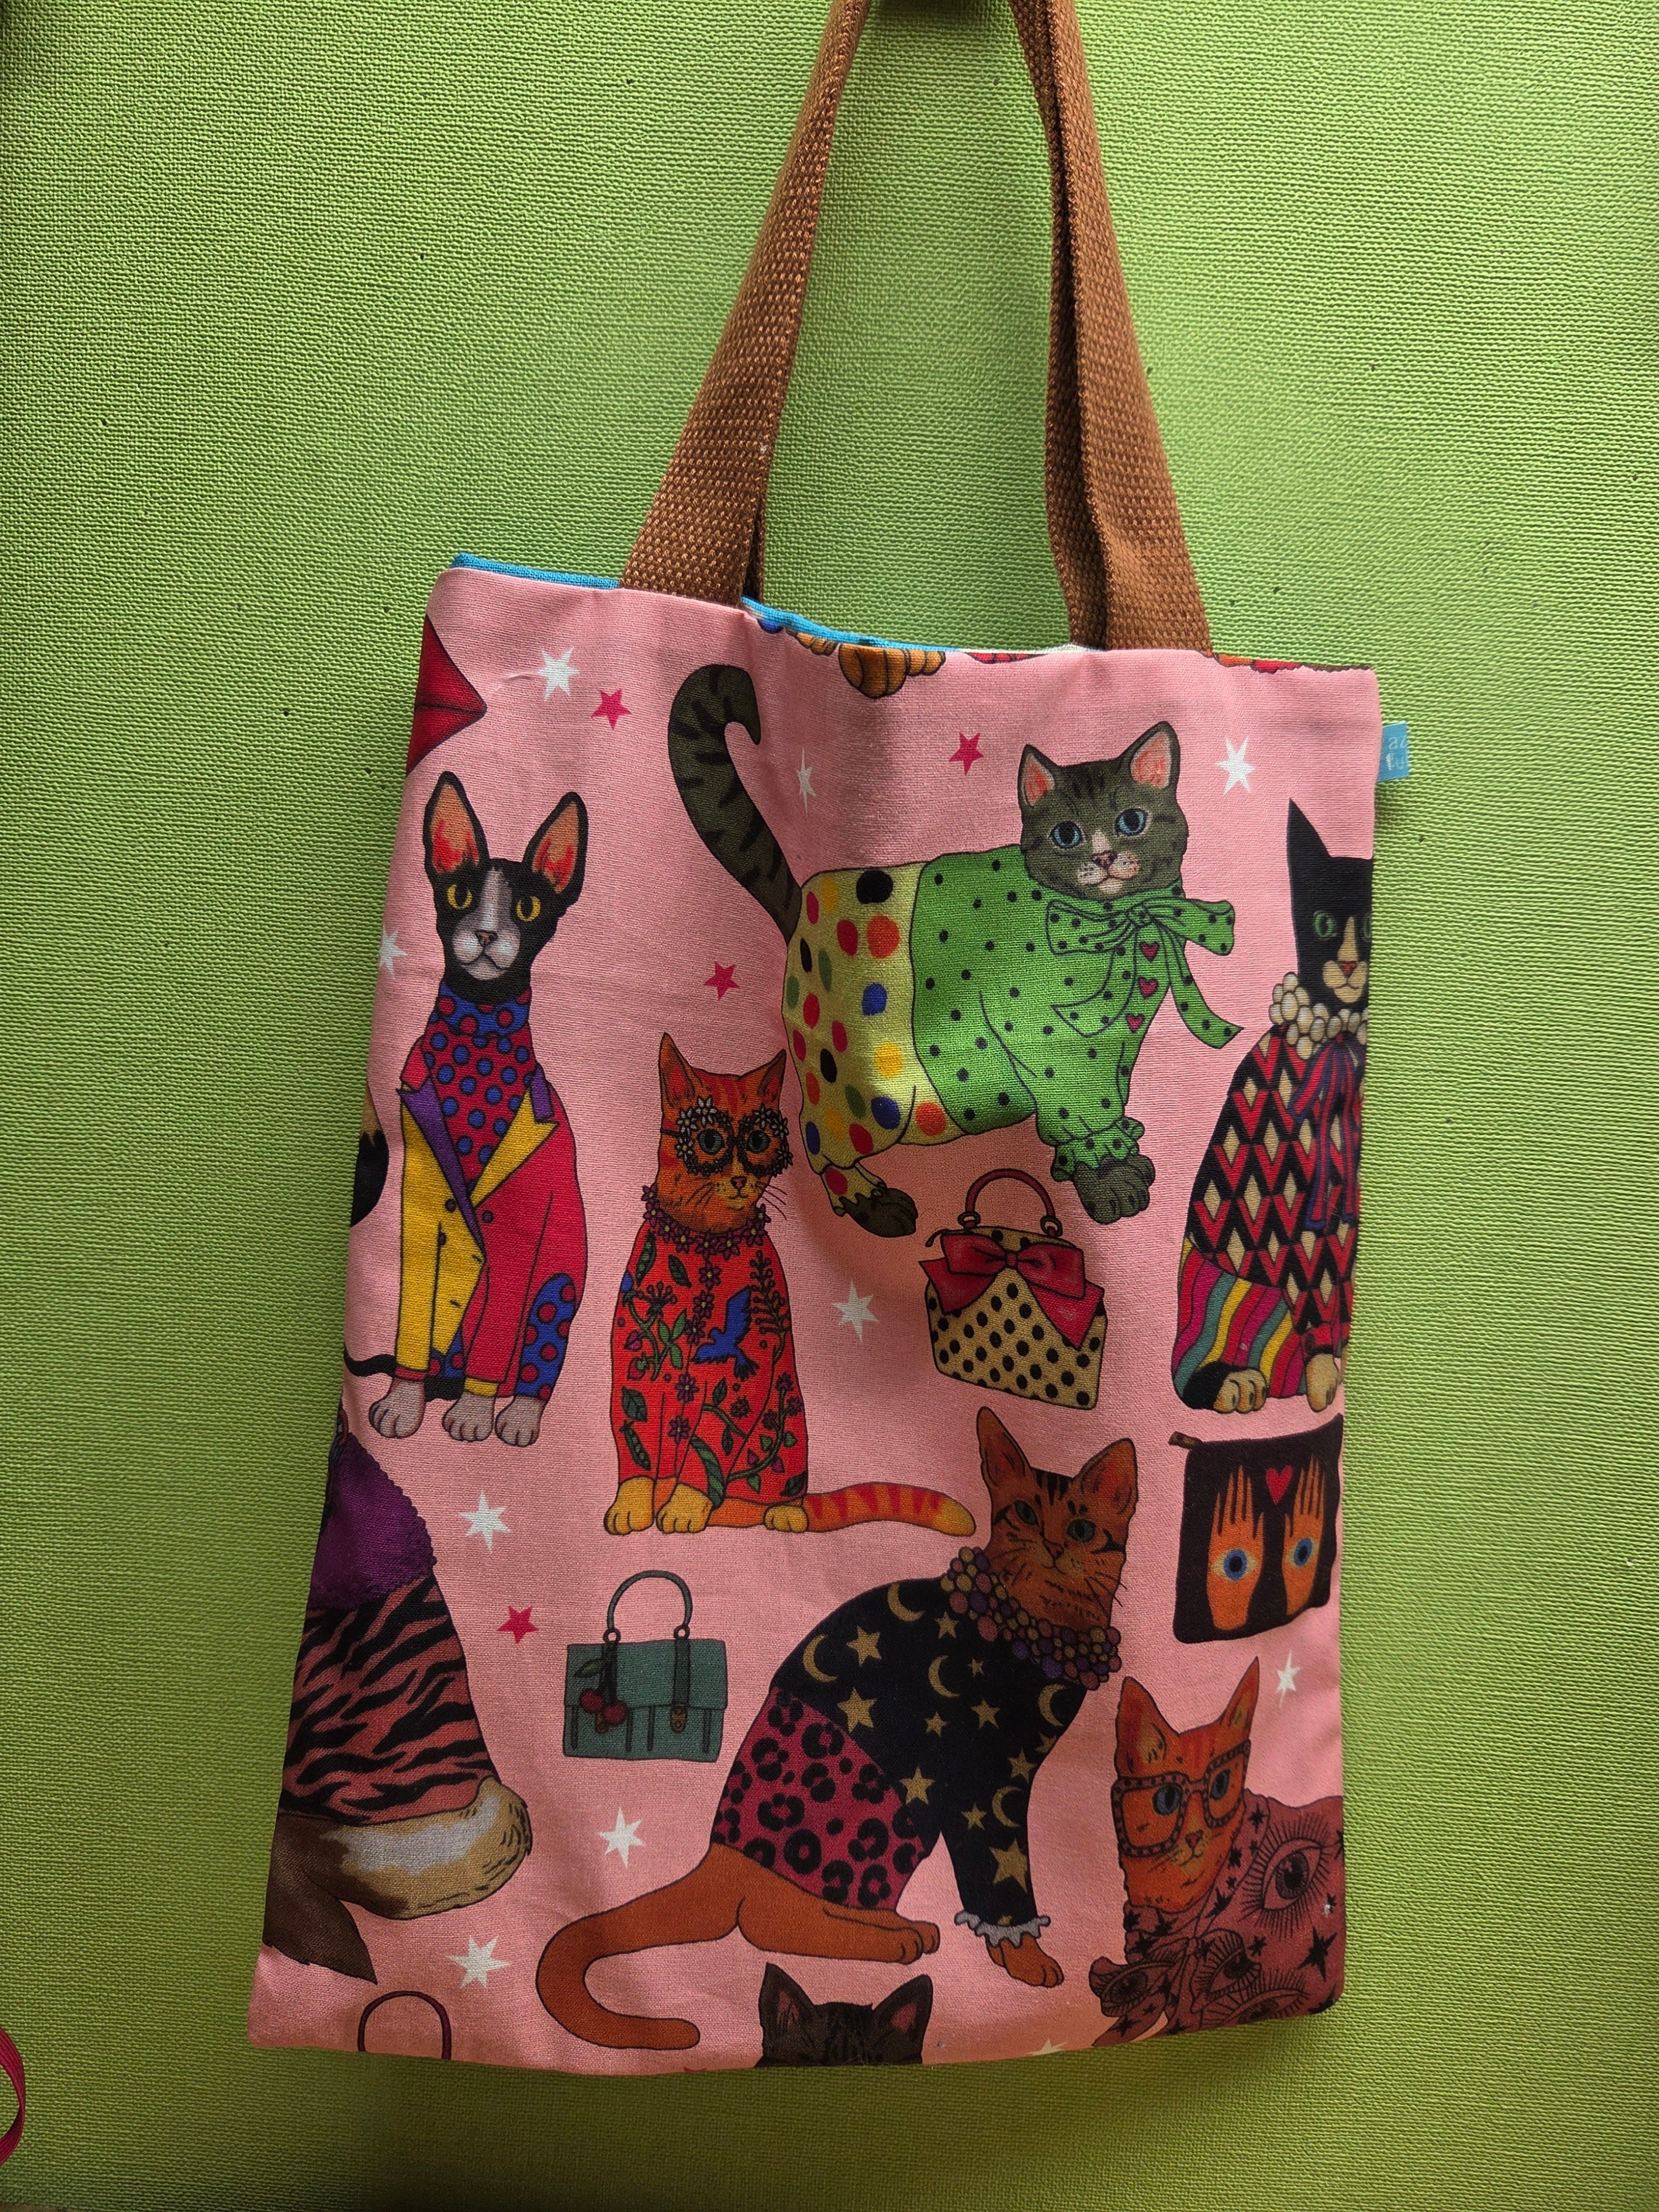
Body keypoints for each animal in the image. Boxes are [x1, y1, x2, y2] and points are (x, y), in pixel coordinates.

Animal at [349, 772, 589, 1448]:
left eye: (528, 909)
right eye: (459, 894)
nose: (484, 935)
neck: (477, 1038)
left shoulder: (520, 1236)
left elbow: (498, 1330)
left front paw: (474, 1415)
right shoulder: (420, 1206)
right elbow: (410, 1313)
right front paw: (402, 1404)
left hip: (559, 1289)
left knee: (534, 1361)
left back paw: (514, 1412)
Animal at [537, 1407, 1136, 2050]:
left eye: (1082, 1528)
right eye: (1024, 1513)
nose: (1052, 1546)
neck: (1033, 1628)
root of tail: (720, 1858)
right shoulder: (986, 1789)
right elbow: (1003, 1874)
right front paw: (1025, 1956)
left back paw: (893, 1924)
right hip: (876, 1796)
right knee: (768, 1922)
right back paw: (887, 1940)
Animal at [606, 1034, 975, 1537]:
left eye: (759, 1141)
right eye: (709, 1140)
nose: (739, 1179)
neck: (704, 1237)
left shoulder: (742, 1377)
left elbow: (710, 1444)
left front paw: (686, 1505)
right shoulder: (637, 1358)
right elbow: (634, 1431)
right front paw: (633, 1501)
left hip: (788, 1429)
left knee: (780, 1497)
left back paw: (775, 1512)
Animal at [667, 664, 1237, 1236]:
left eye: (1132, 822)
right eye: (1066, 834)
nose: (1102, 857)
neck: (1120, 923)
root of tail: (800, 903)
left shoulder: (1117, 1048)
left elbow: (1111, 1102)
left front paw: (1124, 1160)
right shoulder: (1052, 1049)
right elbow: (1082, 1113)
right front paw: (1109, 1182)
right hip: (864, 1094)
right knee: (814, 1134)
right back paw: (869, 1200)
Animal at [1173, 803, 1372, 1415]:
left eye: (1368, 929)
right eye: (1325, 925)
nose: (1351, 967)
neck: (1330, 1040)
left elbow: (1338, 1291)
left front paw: (1332, 1373)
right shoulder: (1287, 1211)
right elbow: (1311, 1286)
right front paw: (1325, 1377)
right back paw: (1237, 1383)